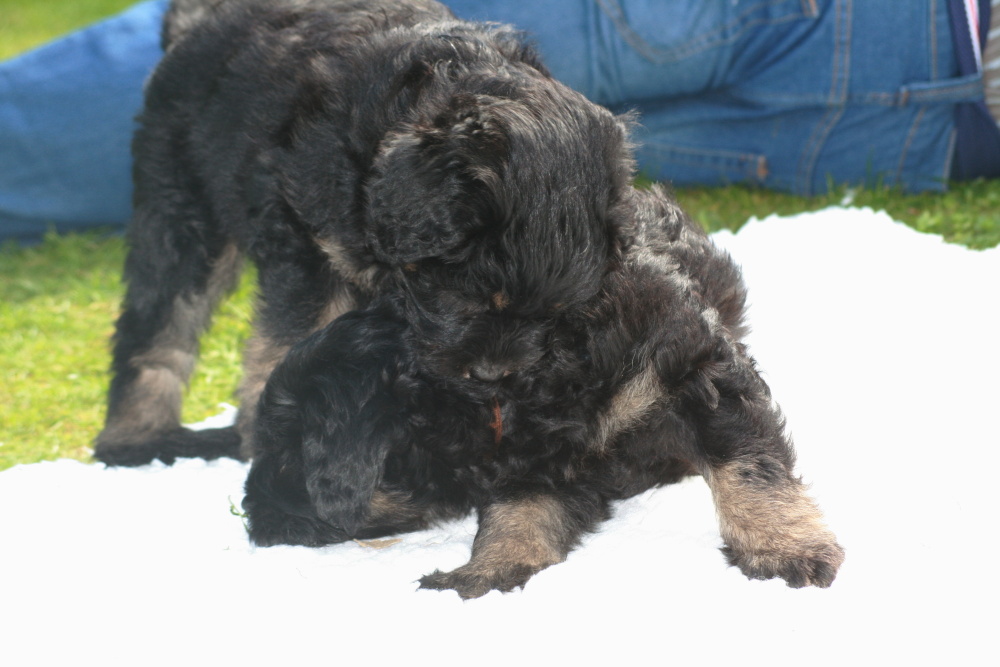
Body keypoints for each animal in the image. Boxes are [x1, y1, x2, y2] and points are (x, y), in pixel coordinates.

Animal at [94, 0, 844, 596]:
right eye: (469, 291)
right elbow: (288, 350)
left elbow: (745, 460)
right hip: (178, 202)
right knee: (155, 327)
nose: (491, 376)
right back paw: (139, 439)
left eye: (554, 317)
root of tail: (197, 21)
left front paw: (781, 543)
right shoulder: (310, 254)